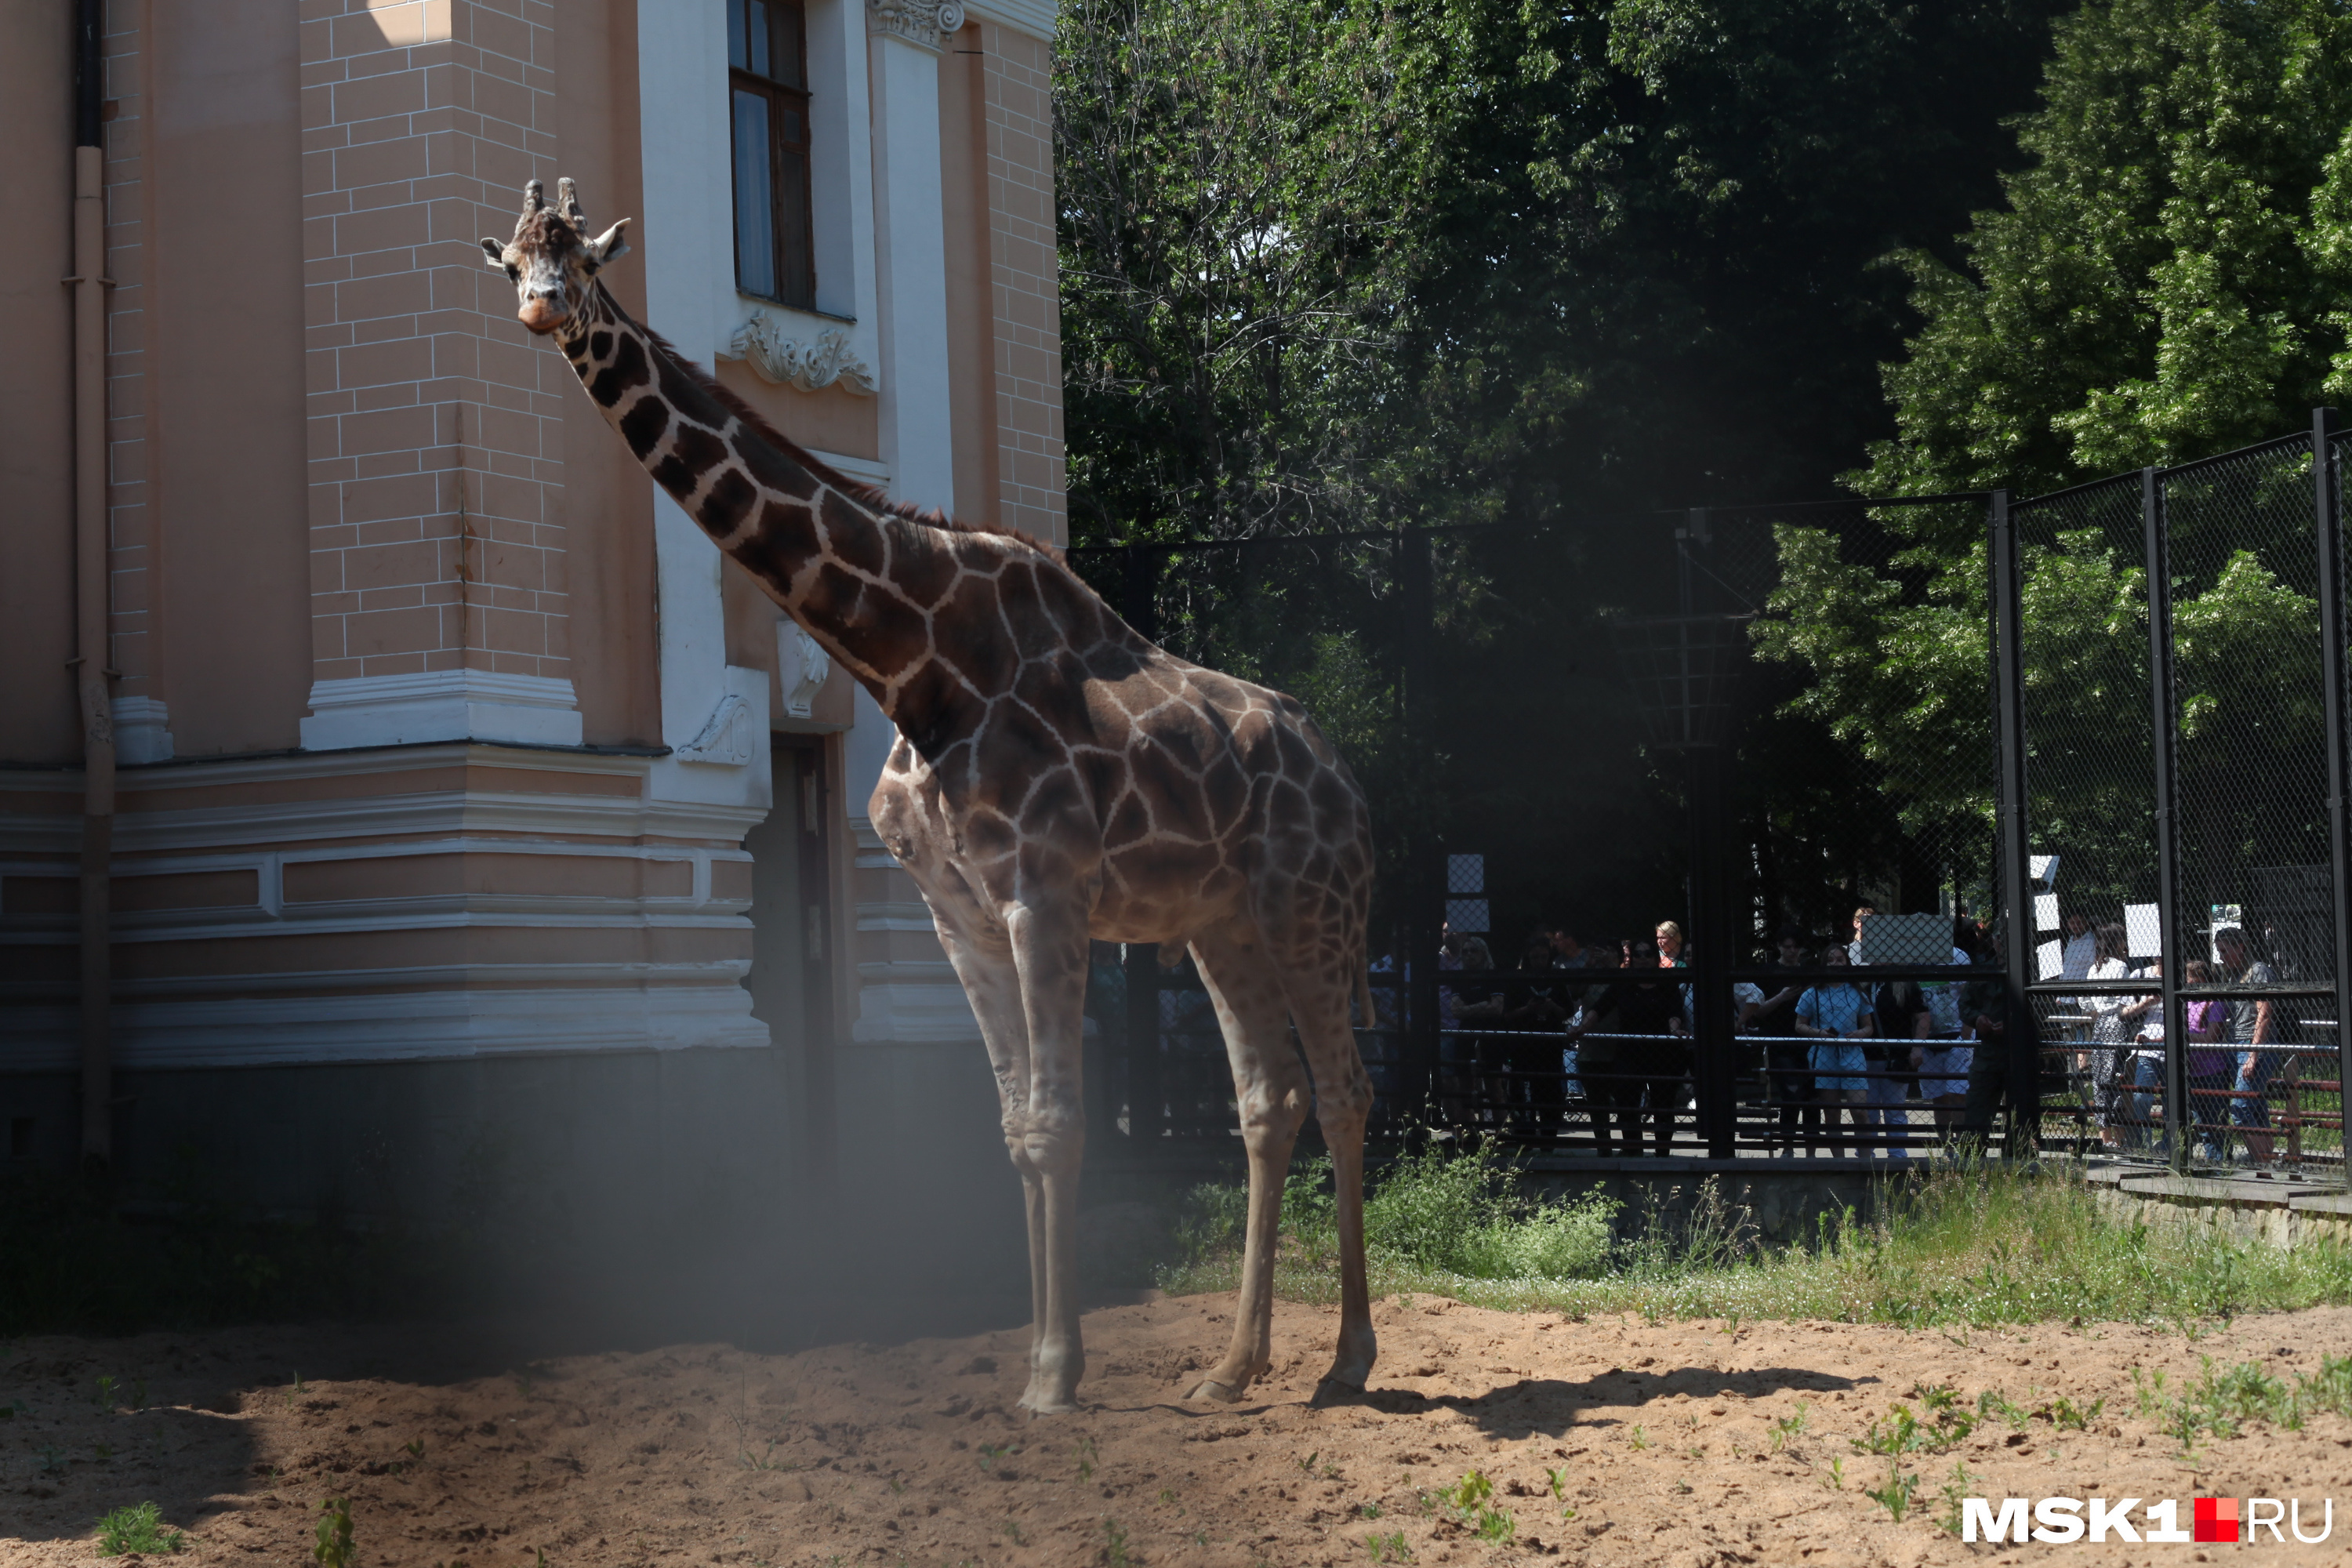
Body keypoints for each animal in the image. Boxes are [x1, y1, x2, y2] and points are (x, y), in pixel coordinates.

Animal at [487, 180, 1383, 1410]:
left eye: (580, 257)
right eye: (512, 262)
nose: (540, 310)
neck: (908, 664)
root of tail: (1346, 776)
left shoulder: (1044, 895)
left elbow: (1058, 1122)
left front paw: (1054, 1375)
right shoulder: (955, 912)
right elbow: (1014, 1128)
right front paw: (1041, 1364)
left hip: (1310, 907)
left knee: (1343, 1090)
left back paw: (1348, 1358)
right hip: (1220, 924)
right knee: (1268, 1099)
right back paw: (1233, 1367)